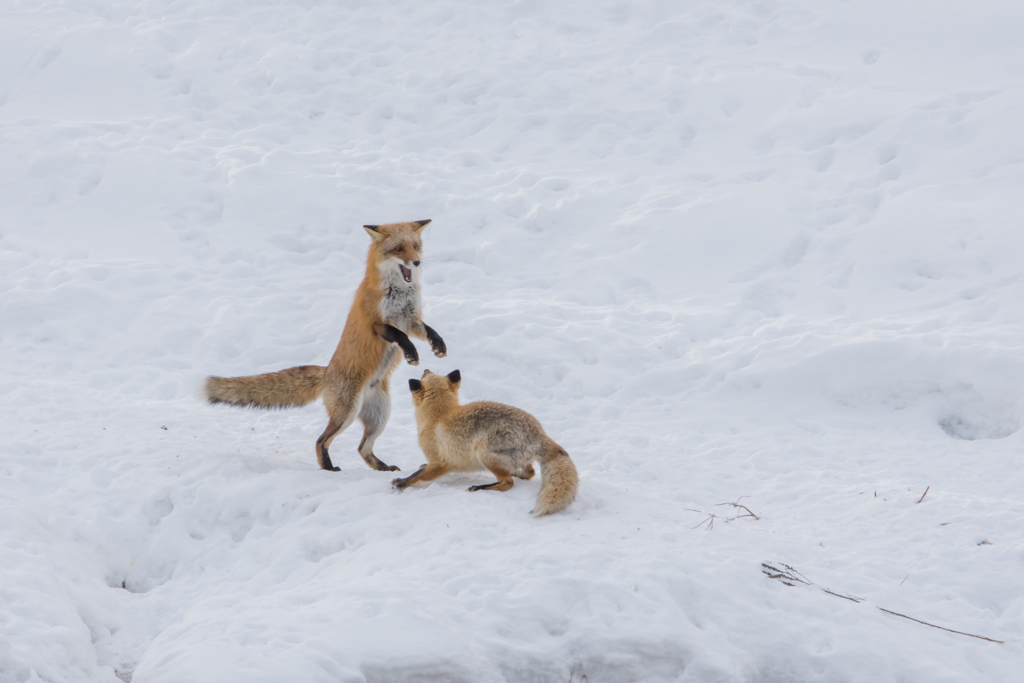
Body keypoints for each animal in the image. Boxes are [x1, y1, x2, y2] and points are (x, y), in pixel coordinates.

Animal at [205, 222, 446, 473]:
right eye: (398, 249)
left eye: (415, 246)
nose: (417, 262)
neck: (397, 292)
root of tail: (327, 372)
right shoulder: (376, 324)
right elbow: (400, 336)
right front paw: (411, 352)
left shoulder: (411, 319)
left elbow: (427, 331)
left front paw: (439, 345)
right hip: (347, 413)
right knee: (321, 440)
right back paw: (329, 468)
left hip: (380, 415)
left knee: (362, 449)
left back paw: (383, 467)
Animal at [395, 370, 581, 516]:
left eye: (425, 374)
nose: (425, 369)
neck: (438, 416)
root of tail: (540, 434)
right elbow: (421, 470)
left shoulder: (441, 463)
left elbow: (417, 476)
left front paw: (401, 483)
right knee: (529, 473)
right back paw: (515, 473)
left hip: (483, 453)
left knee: (508, 483)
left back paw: (481, 487)